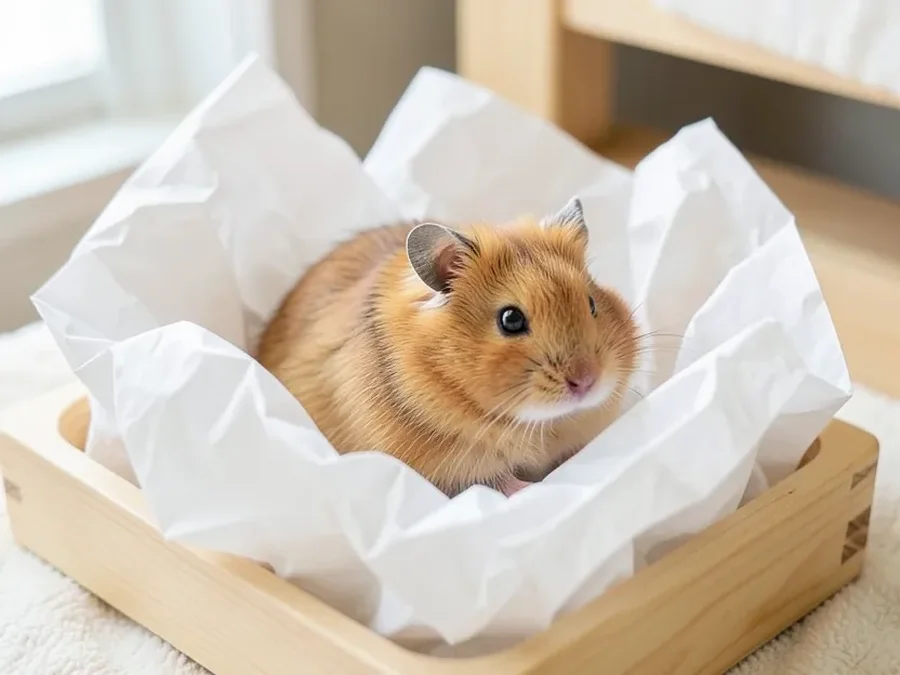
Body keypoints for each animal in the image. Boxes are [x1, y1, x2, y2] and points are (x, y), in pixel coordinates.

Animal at [256, 198, 639, 497]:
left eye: (591, 303)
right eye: (510, 320)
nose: (587, 381)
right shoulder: (453, 470)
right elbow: (496, 480)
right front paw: (530, 489)